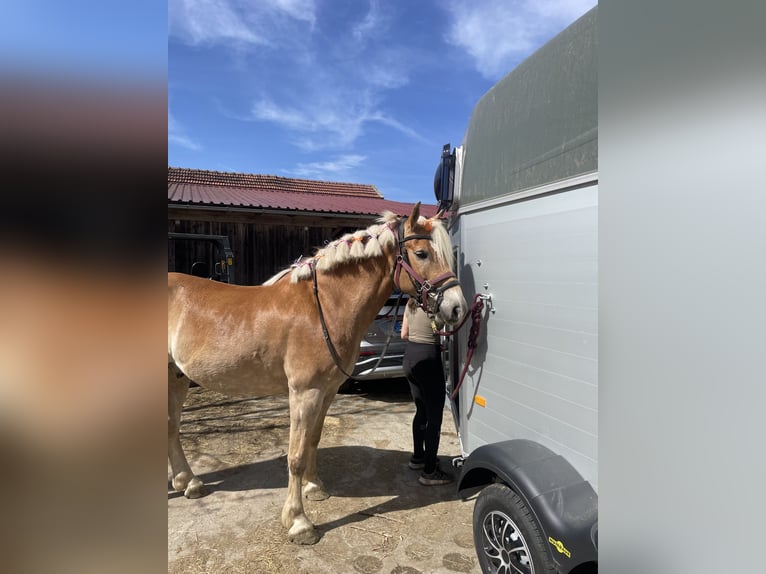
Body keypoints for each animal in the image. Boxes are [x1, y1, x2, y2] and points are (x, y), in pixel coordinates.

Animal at [168, 205, 468, 548]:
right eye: (421, 253)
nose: (457, 308)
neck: (322, 307)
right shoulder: (304, 392)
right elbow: (296, 455)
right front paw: (299, 522)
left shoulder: (327, 391)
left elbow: (313, 439)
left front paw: (314, 488)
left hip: (176, 377)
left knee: (171, 429)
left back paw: (188, 482)